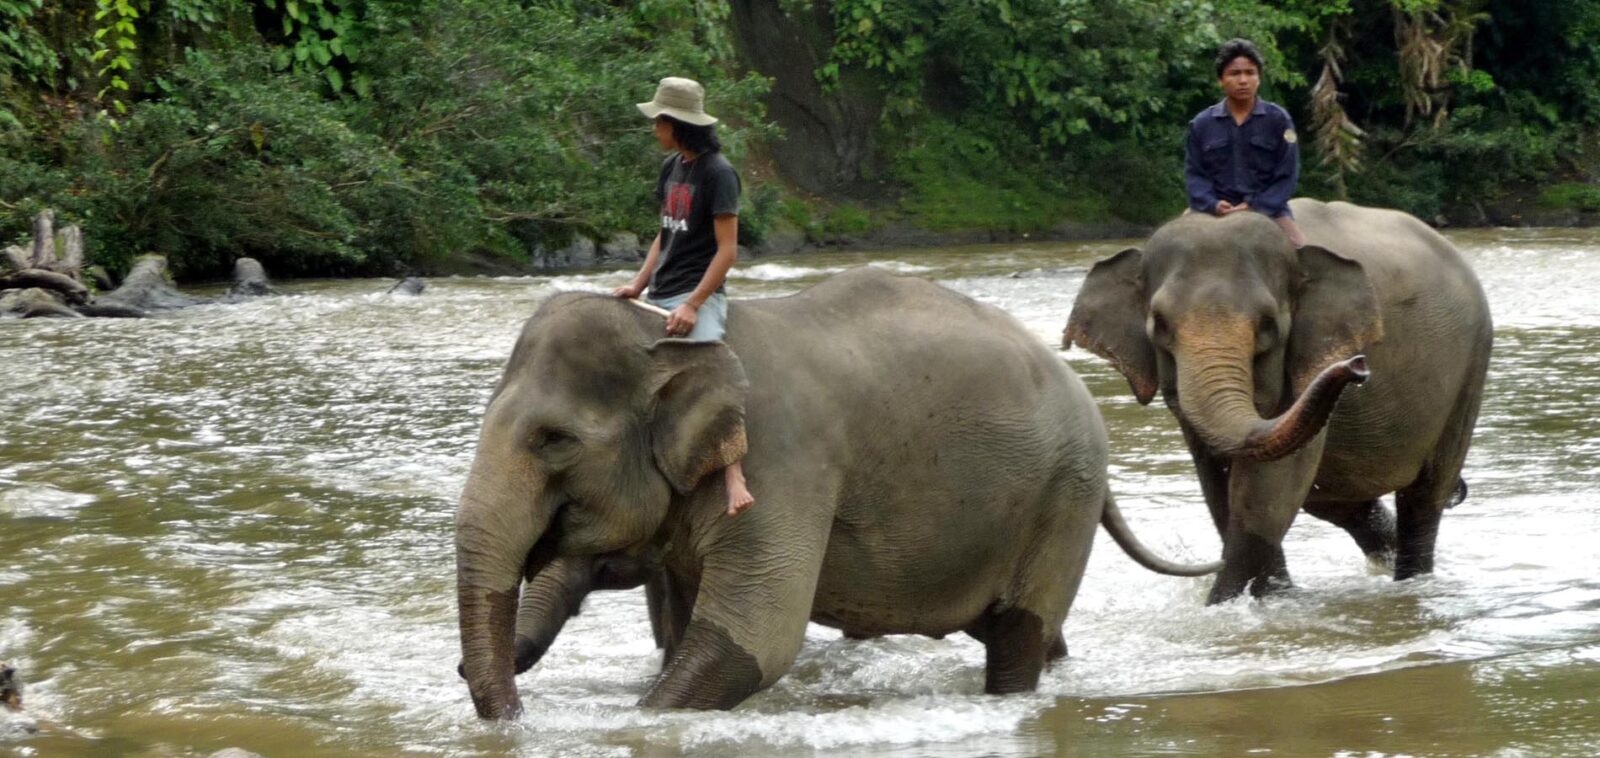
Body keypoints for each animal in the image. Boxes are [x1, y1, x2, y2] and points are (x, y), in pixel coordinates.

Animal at [456, 267, 1220, 719]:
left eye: (553, 440)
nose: (514, 718)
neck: (670, 338)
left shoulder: (783, 464)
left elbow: (753, 641)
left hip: (1065, 494)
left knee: (1017, 636)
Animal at [1065, 199, 1492, 604]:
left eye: (1268, 325)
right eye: (1161, 324)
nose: (1356, 366)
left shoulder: (1308, 357)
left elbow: (1271, 485)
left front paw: (1226, 606)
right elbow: (1219, 486)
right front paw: (1273, 594)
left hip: (1470, 371)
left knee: (1424, 498)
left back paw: (1412, 578)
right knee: (1340, 501)